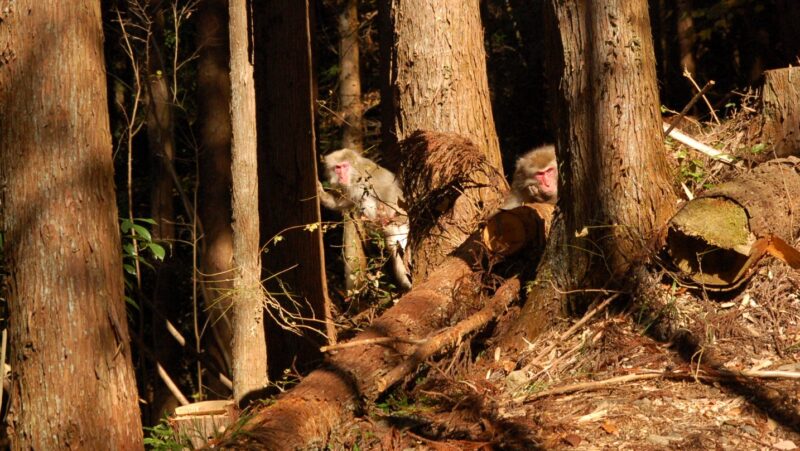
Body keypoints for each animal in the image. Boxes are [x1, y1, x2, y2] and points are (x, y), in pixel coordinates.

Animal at [318, 148, 412, 290]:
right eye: (337, 167)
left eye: (345, 166)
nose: (341, 176)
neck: (354, 177)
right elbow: (344, 202)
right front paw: (321, 193)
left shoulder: (367, 177)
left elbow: (389, 191)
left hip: (402, 226)